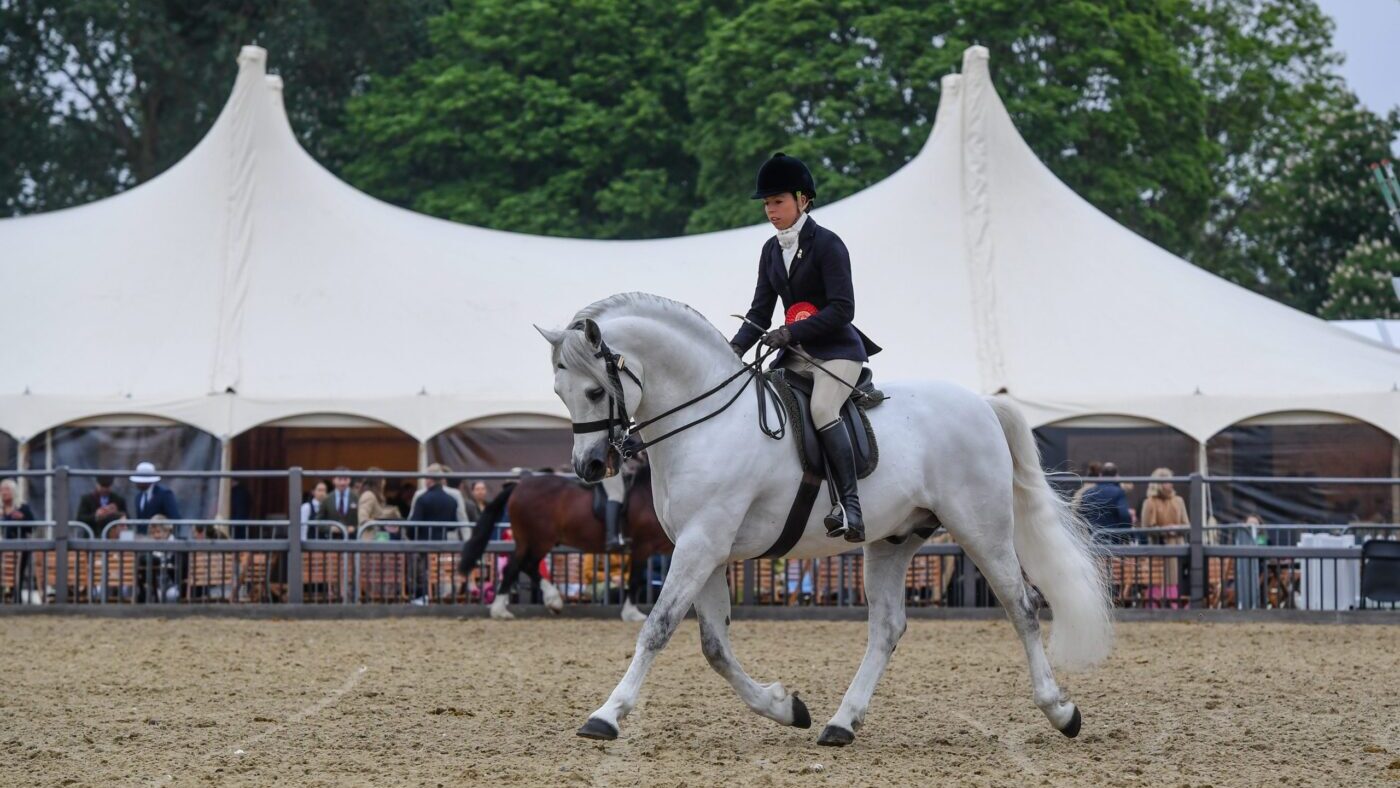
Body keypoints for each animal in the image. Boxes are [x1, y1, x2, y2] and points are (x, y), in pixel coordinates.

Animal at [459, 465, 674, 622]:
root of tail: (520, 485)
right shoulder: (642, 547)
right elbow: (636, 579)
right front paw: (631, 613)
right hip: (538, 540)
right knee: (519, 566)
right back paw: (512, 608)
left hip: (531, 540)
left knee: (522, 566)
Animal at [535, 293, 1113, 747]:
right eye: (561, 393)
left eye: (594, 391)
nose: (589, 467)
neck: (704, 421)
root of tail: (983, 405)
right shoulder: (705, 549)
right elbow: (715, 648)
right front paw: (785, 707)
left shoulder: (701, 544)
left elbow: (657, 628)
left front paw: (606, 715)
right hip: (893, 539)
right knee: (887, 627)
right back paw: (841, 723)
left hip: (982, 530)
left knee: (1022, 608)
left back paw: (1061, 711)